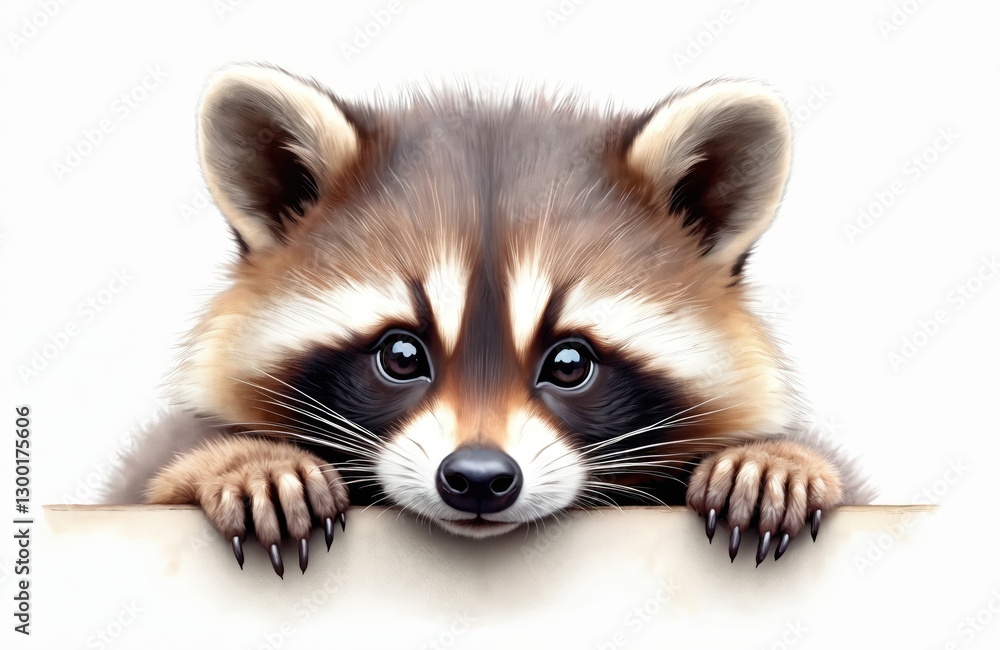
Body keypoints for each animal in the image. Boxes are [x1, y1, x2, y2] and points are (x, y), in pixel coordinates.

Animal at [106, 63, 871, 576]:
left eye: (570, 363)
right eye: (400, 355)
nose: (476, 478)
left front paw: (773, 458)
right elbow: (144, 484)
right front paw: (243, 459)